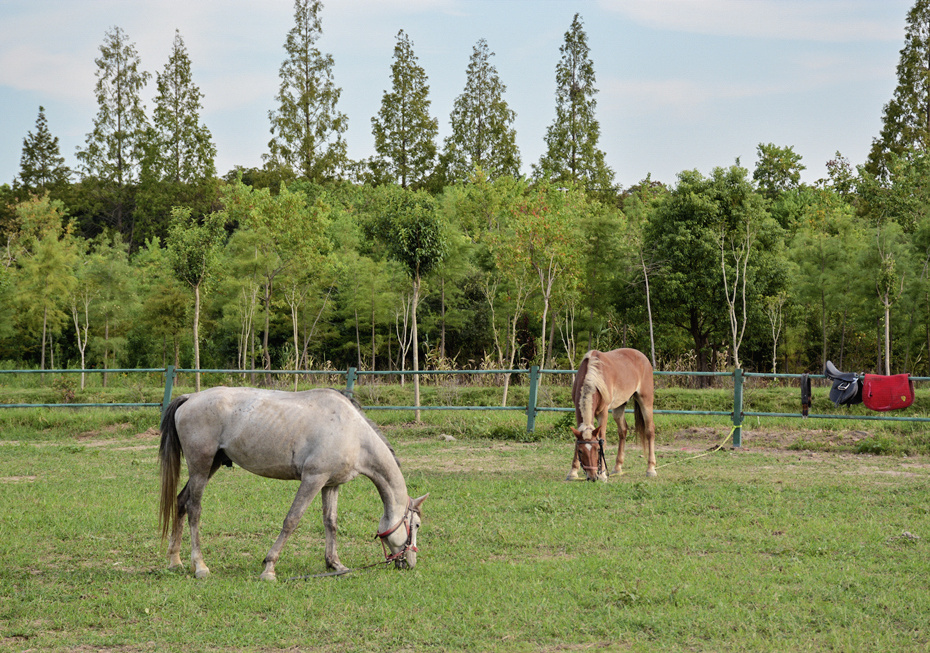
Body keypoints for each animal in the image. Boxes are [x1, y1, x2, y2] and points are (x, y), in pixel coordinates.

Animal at [159, 384, 428, 580]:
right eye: (415, 525)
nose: (411, 563)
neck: (352, 432)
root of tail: (191, 397)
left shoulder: (331, 484)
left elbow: (330, 523)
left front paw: (335, 564)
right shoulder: (313, 479)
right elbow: (291, 520)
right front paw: (269, 568)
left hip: (211, 465)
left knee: (180, 502)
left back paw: (175, 561)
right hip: (201, 466)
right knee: (194, 509)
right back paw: (200, 566)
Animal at [568, 346, 656, 478]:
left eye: (597, 450)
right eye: (580, 451)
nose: (592, 475)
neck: (594, 376)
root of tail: (643, 357)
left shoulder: (603, 413)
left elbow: (603, 439)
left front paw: (603, 474)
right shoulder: (578, 412)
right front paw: (573, 472)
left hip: (646, 400)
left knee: (649, 430)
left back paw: (650, 469)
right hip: (619, 407)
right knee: (623, 431)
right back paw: (617, 467)